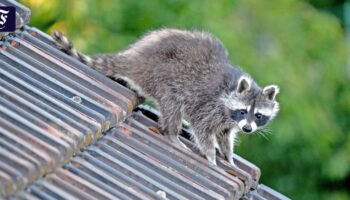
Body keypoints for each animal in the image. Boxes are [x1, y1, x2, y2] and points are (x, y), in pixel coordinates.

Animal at [52, 28, 278, 166]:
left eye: (258, 115)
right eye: (243, 111)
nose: (247, 129)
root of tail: (135, 57)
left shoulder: (228, 120)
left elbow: (224, 135)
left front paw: (228, 156)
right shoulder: (210, 104)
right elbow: (202, 128)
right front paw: (211, 156)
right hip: (162, 74)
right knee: (173, 103)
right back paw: (172, 134)